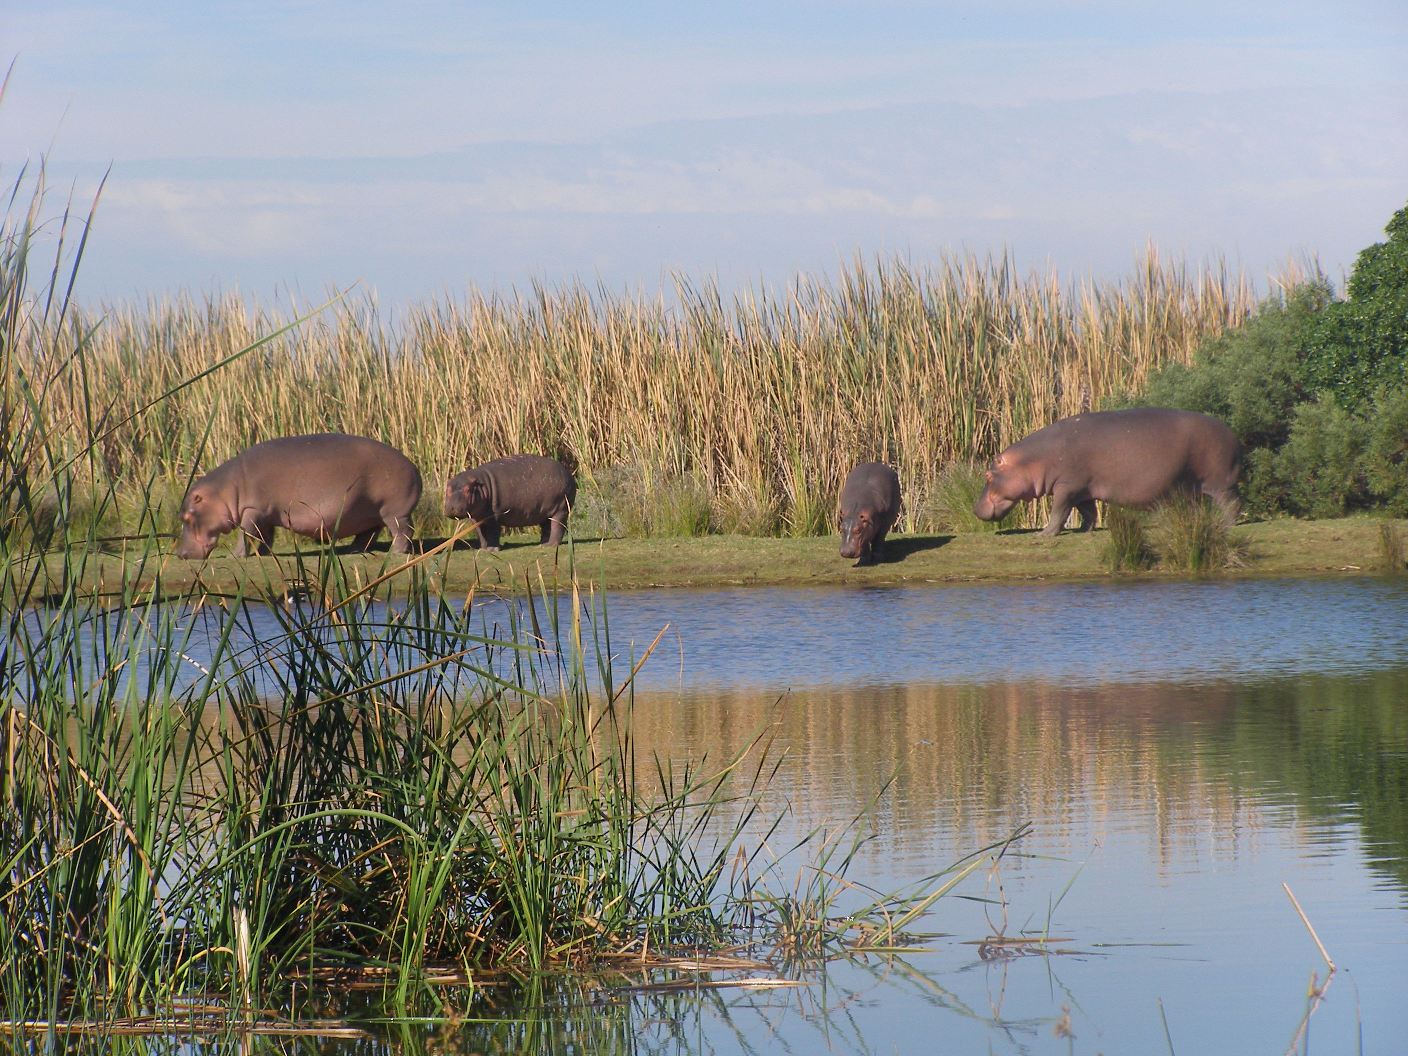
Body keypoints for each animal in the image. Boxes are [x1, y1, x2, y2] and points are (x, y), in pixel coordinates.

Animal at [175, 433, 422, 558]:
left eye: (186, 517)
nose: (181, 554)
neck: (225, 490)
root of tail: (414, 467)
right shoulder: (265, 514)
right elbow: (264, 535)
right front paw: (264, 553)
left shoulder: (251, 511)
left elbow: (246, 534)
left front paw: (236, 556)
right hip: (369, 512)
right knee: (368, 534)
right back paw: (354, 550)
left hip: (393, 511)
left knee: (403, 531)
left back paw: (396, 552)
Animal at [444, 455, 576, 551]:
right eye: (447, 489)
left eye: (468, 489)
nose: (451, 508)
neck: (482, 485)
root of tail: (568, 473)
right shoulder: (476, 519)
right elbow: (481, 534)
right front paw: (483, 549)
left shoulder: (494, 517)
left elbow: (492, 532)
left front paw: (492, 550)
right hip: (546, 512)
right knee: (547, 526)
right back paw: (543, 544)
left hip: (561, 509)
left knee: (557, 526)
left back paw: (551, 545)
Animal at [974, 408, 1242, 536]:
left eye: (988, 475)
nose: (975, 509)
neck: (1033, 460)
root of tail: (1233, 435)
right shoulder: (1082, 489)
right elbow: (1088, 511)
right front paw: (1085, 531)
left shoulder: (1066, 487)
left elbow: (1058, 512)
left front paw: (1043, 535)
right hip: (1193, 487)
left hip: (1219, 482)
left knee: (1231, 503)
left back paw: (1228, 524)